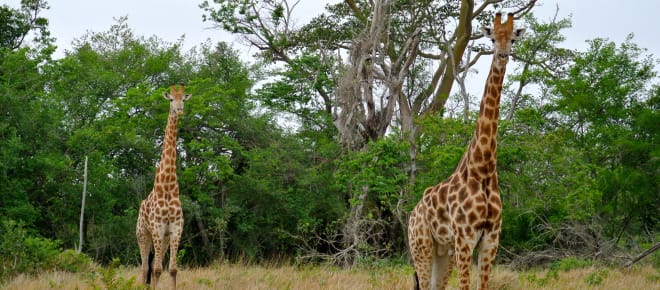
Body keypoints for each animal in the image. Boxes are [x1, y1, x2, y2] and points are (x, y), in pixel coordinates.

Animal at [136, 83, 191, 288]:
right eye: (171, 99)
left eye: (183, 98)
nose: (179, 110)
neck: (167, 187)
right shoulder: (158, 228)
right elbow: (158, 270)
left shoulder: (175, 230)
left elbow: (172, 269)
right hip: (143, 235)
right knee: (145, 268)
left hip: (164, 239)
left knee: (151, 267)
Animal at [408, 13, 524, 290]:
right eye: (492, 38)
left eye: (513, 38)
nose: (502, 55)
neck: (483, 168)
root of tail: (412, 214)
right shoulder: (465, 238)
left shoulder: (490, 240)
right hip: (421, 247)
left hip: (442, 252)